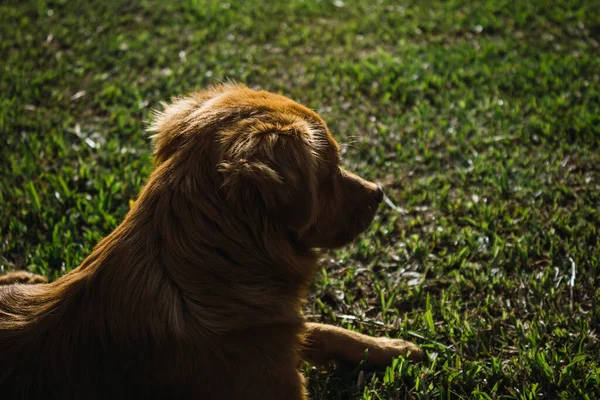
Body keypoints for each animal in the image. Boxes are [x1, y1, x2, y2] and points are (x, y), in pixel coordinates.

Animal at [0, 83, 422, 398]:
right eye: (331, 170)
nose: (379, 192)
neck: (204, 276)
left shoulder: (277, 333)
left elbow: (321, 329)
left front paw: (392, 348)